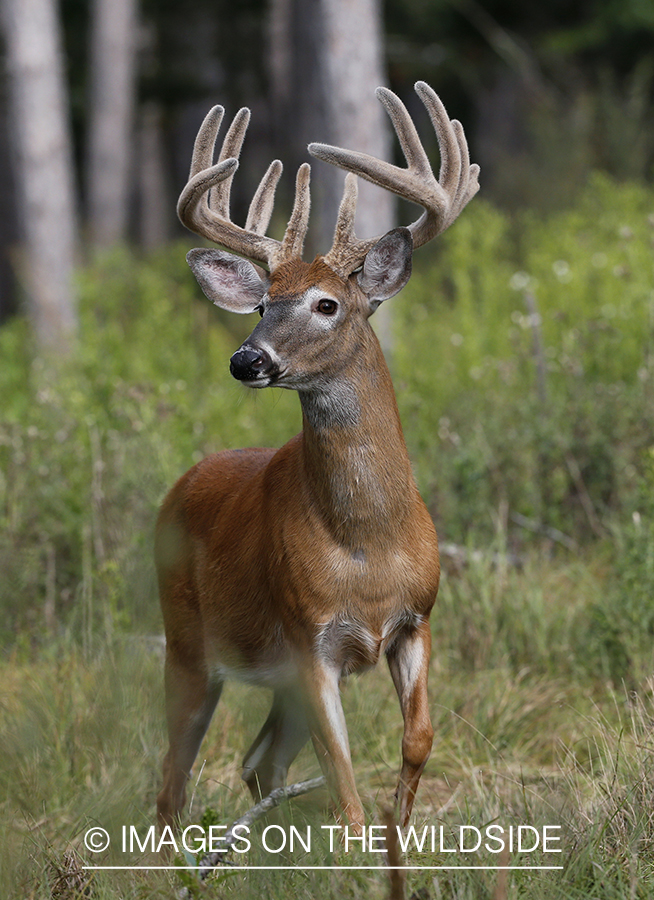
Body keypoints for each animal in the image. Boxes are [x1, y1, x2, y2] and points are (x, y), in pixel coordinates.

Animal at [156, 81, 480, 832]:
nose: (247, 360)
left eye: (327, 303)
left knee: (258, 761)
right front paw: (362, 841)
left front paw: (399, 835)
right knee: (171, 781)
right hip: (185, 643)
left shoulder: (417, 619)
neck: (368, 542)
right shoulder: (309, 639)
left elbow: (418, 739)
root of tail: (180, 485)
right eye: (262, 305)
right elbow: (344, 774)